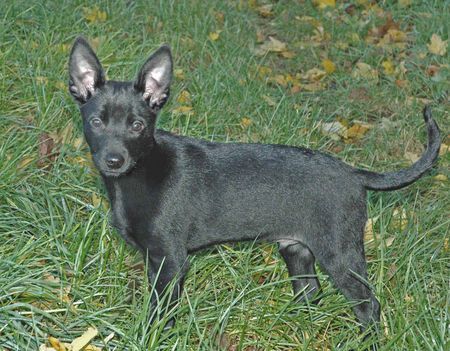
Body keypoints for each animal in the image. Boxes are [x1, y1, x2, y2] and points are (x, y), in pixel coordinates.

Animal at [68, 37, 442, 336]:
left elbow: (160, 315)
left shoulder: (170, 262)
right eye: (96, 122)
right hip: (296, 250)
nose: (113, 160)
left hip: (339, 252)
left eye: (137, 126)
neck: (140, 174)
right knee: (311, 293)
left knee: (368, 305)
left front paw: (152, 338)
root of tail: (354, 173)